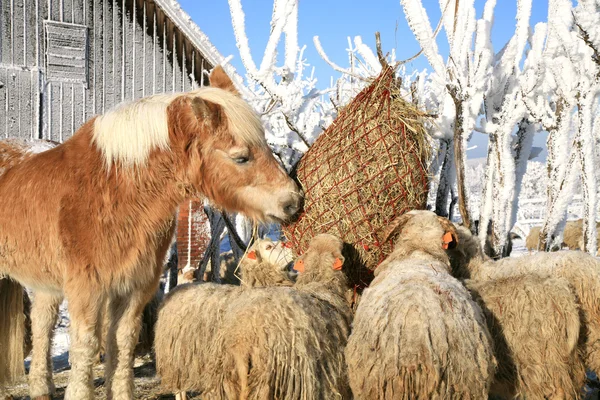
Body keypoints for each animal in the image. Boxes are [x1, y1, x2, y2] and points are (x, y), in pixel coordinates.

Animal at [0, 66, 302, 400]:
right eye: (241, 157)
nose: (293, 201)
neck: (114, 188)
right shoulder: (87, 290)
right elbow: (87, 346)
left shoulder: (135, 288)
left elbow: (123, 343)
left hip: (46, 284)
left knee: (43, 324)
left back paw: (42, 388)